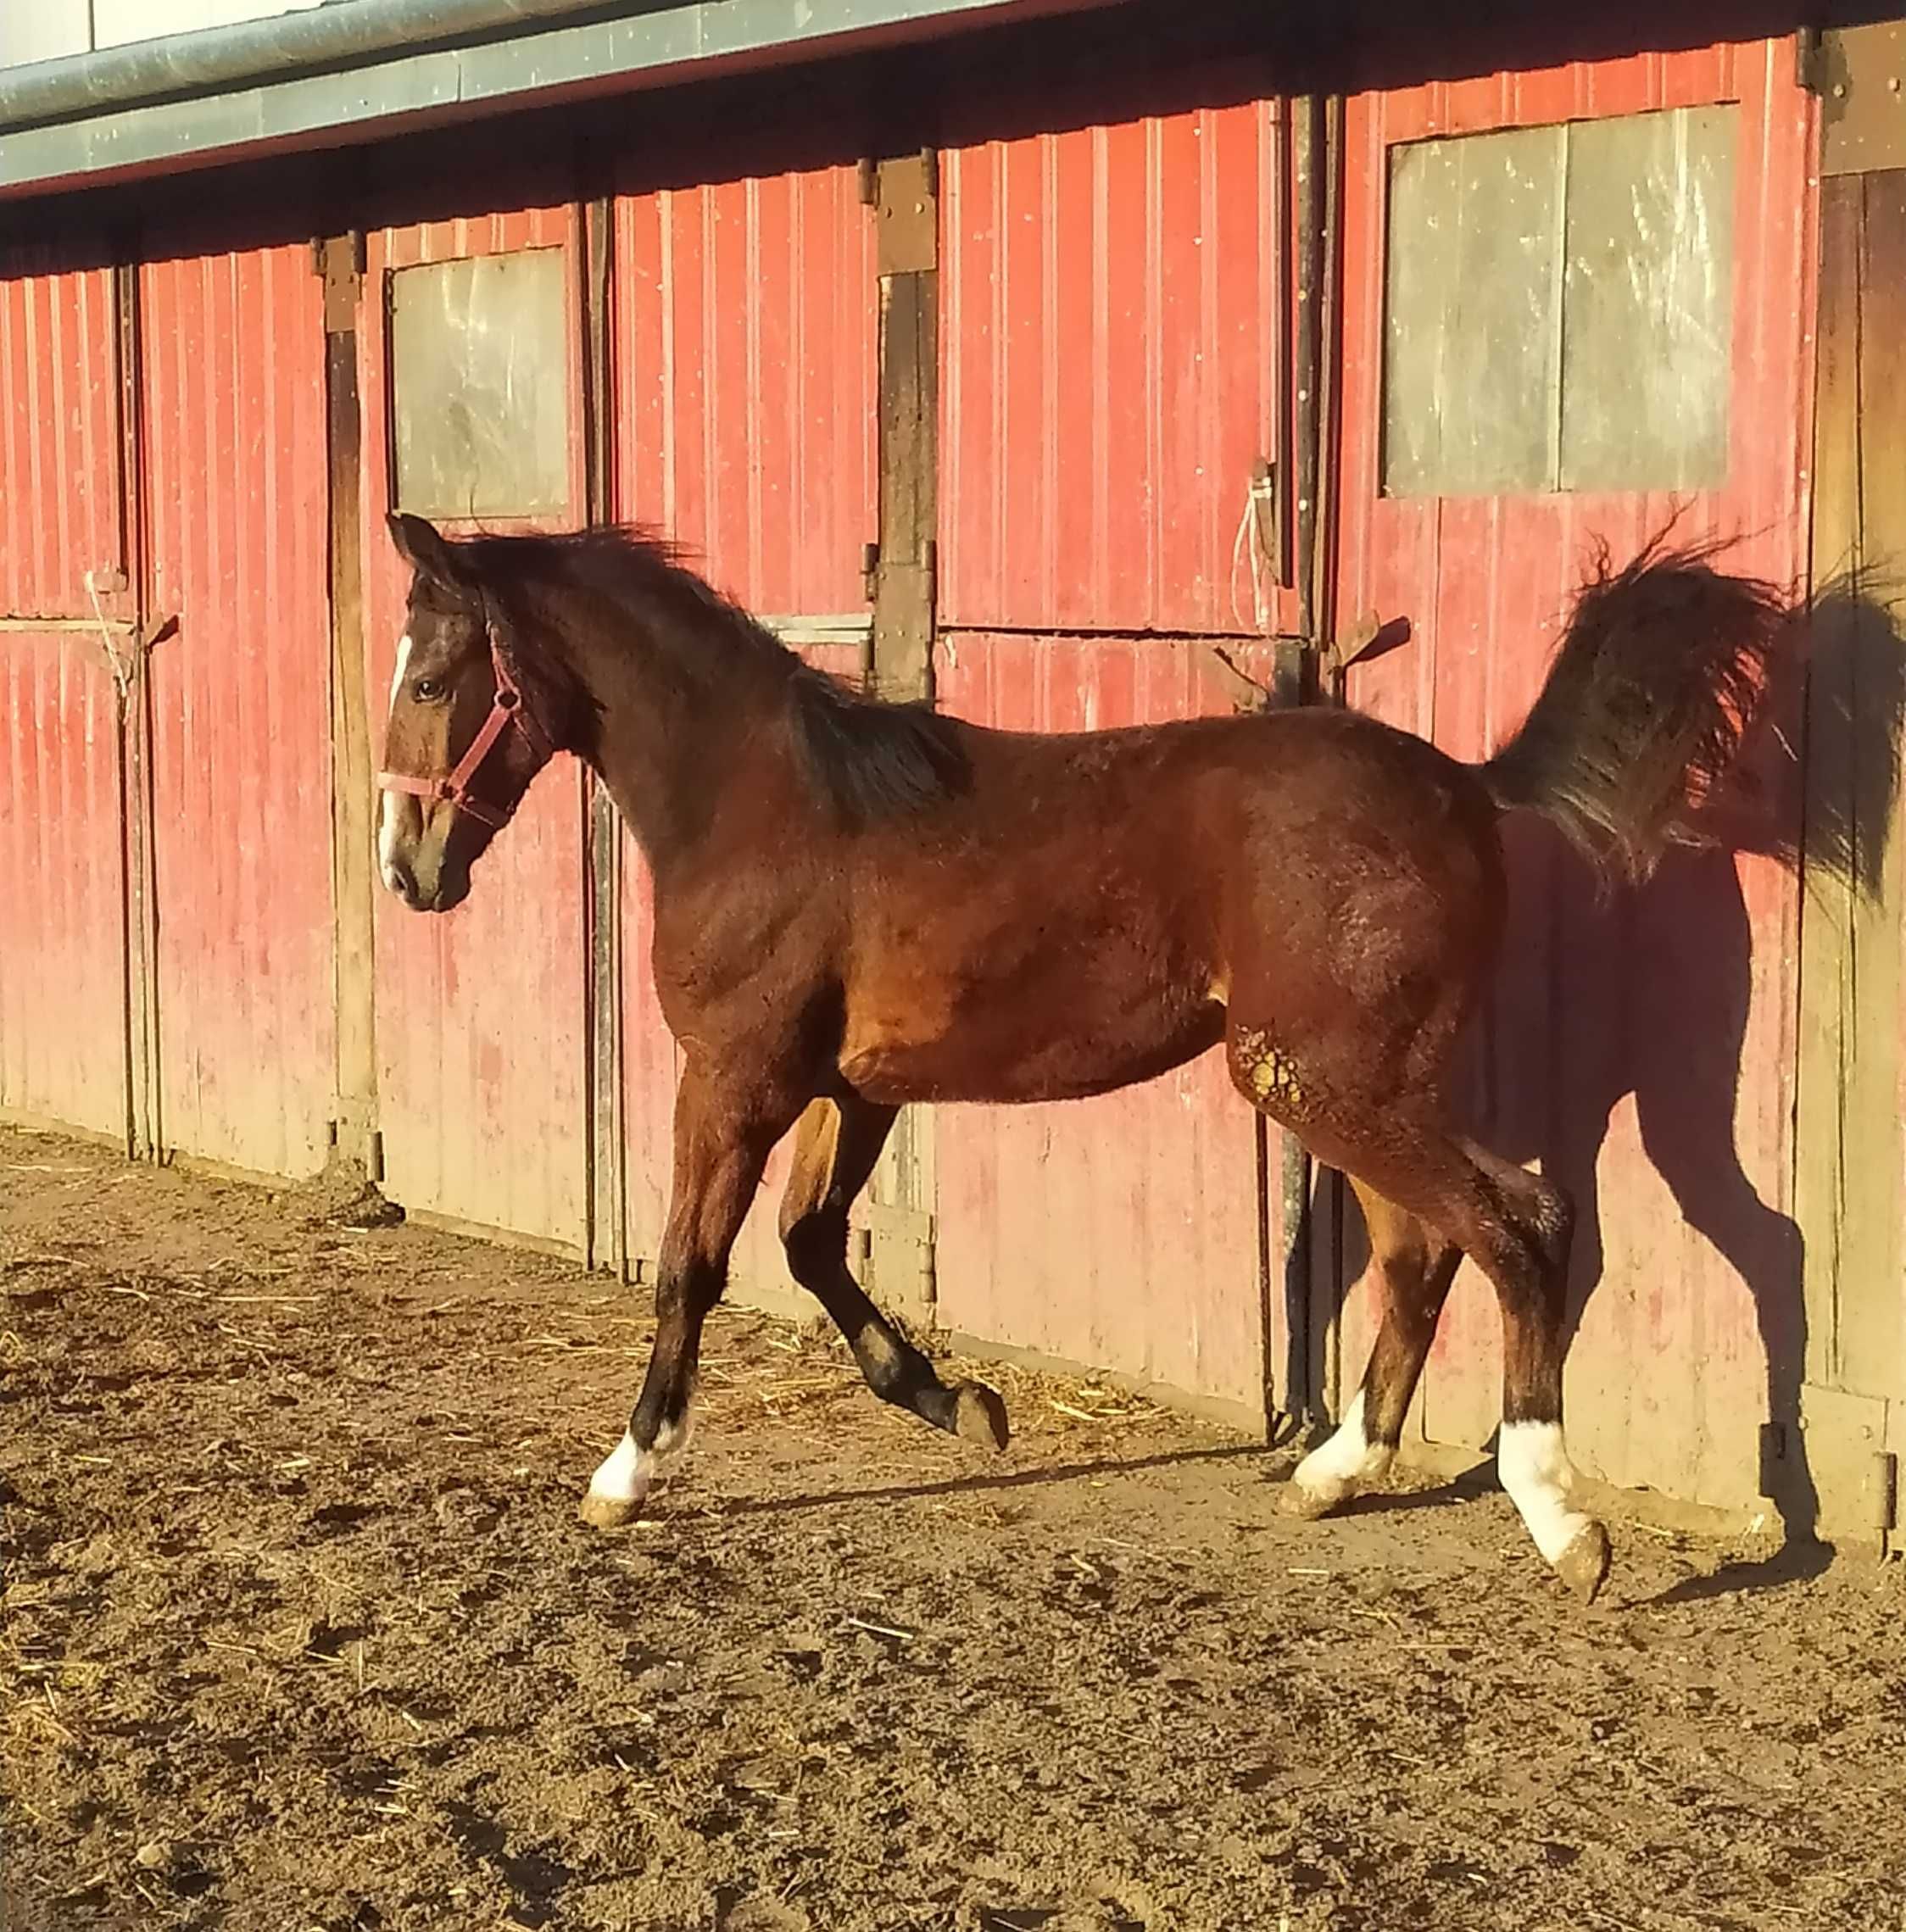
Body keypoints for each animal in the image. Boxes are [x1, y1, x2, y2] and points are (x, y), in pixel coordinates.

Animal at [375, 509, 1786, 1600]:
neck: (771, 810)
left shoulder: (737, 1079)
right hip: (1355, 1081)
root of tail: (1464, 779)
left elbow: (692, 1266)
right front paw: (962, 1403)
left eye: (432, 679)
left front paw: (626, 1473)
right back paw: (1337, 1472)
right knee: (1429, 1248)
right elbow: (811, 1242)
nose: (407, 870)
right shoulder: (853, 1088)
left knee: (1524, 1222)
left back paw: (1563, 1522)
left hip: (1326, 1077)